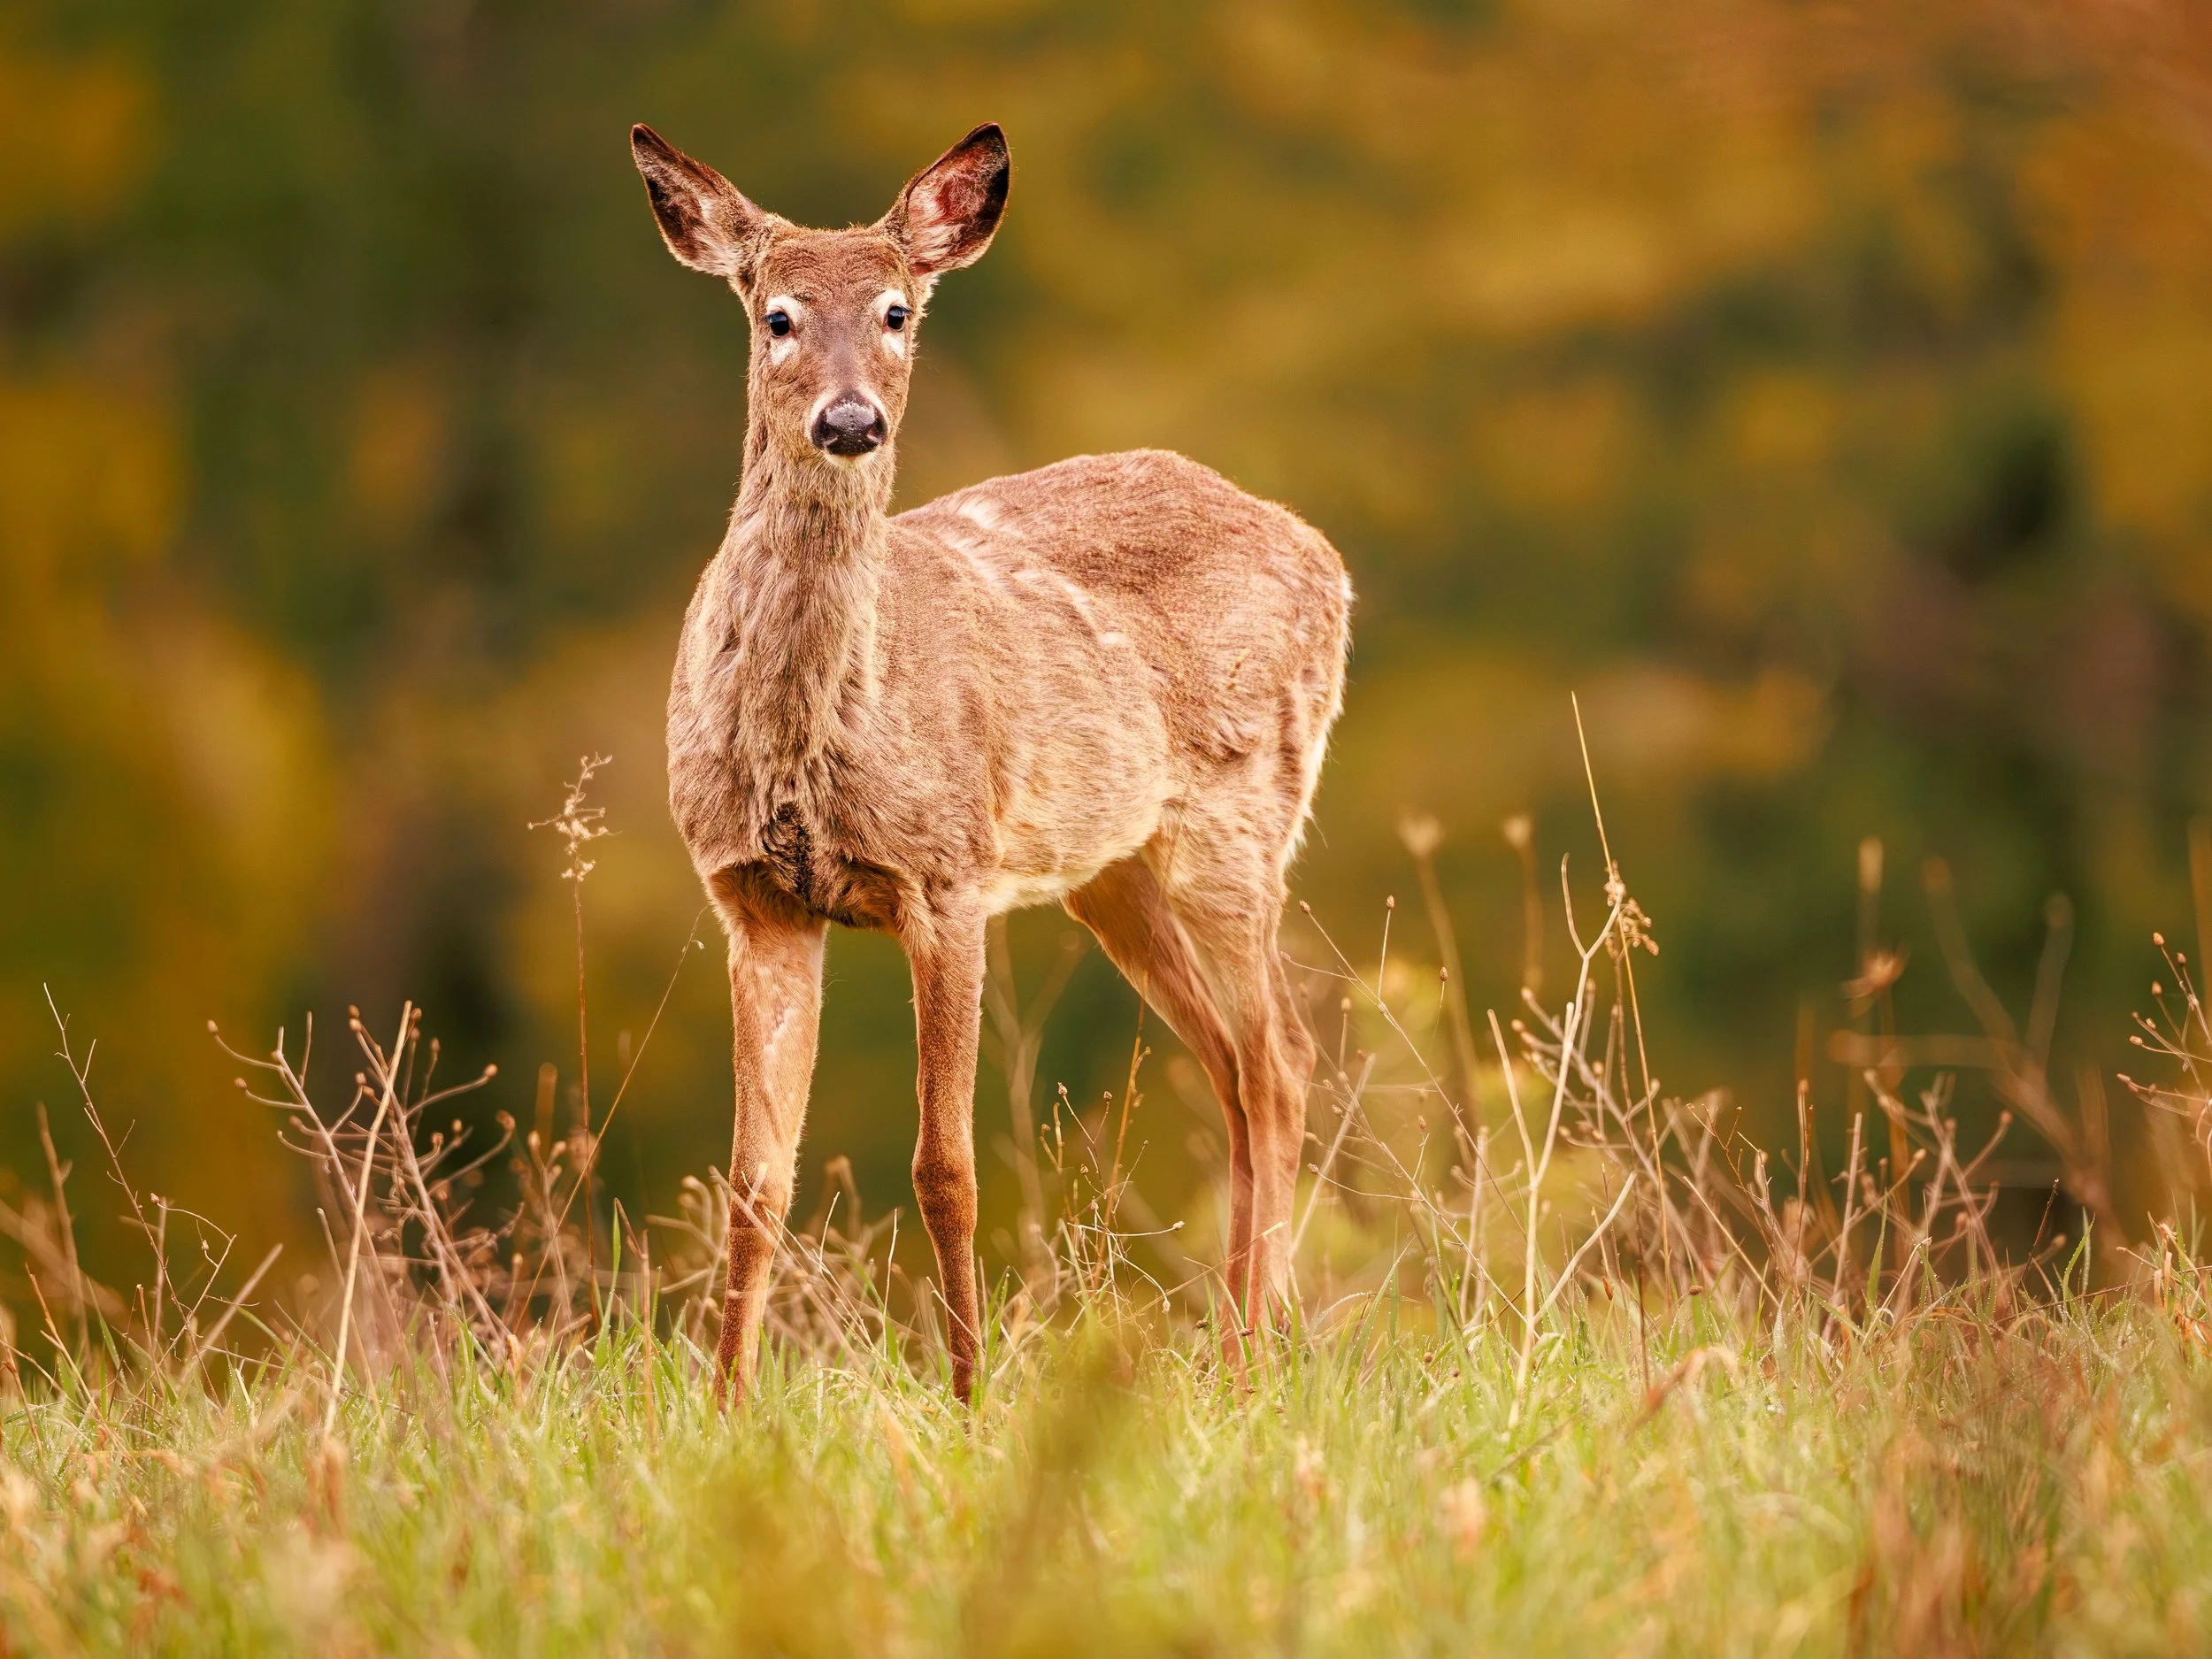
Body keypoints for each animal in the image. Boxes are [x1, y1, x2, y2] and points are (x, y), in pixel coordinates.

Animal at [629, 119, 1350, 1405]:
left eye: (898, 309)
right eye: (776, 315)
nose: (850, 422)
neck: (817, 739)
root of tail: (1324, 556)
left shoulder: (948, 874)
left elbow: (947, 1165)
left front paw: (969, 1393)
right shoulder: (752, 898)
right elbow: (756, 1179)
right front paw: (722, 1403)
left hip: (1241, 812)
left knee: (1280, 1055)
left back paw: (1247, 1359)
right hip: (1109, 872)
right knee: (1228, 1059)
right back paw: (1231, 1343)